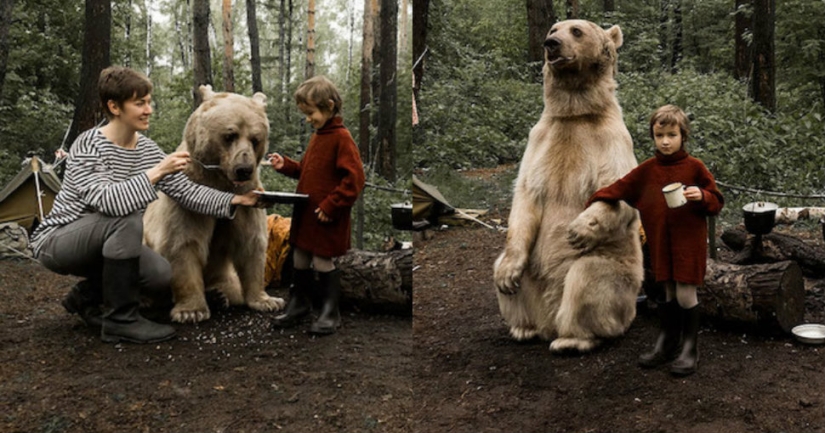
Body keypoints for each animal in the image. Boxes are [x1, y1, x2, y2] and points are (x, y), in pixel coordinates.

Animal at [146, 85, 288, 320]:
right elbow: (183, 242)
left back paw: (218, 295)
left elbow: (251, 243)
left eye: (256, 139)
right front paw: (191, 311)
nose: (244, 169)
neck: (220, 183)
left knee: (229, 284)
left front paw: (267, 301)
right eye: (230, 135)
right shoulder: (187, 196)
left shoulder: (245, 196)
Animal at [492, 19, 640, 352]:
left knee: (589, 279)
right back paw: (523, 327)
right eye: (553, 28)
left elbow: (620, 190)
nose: (551, 44)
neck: (575, 112)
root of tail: (550, 319)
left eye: (576, 30)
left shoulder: (611, 139)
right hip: (533, 269)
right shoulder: (541, 139)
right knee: (502, 268)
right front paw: (507, 276)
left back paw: (574, 338)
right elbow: (526, 194)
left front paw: (578, 229)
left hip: (618, 275)